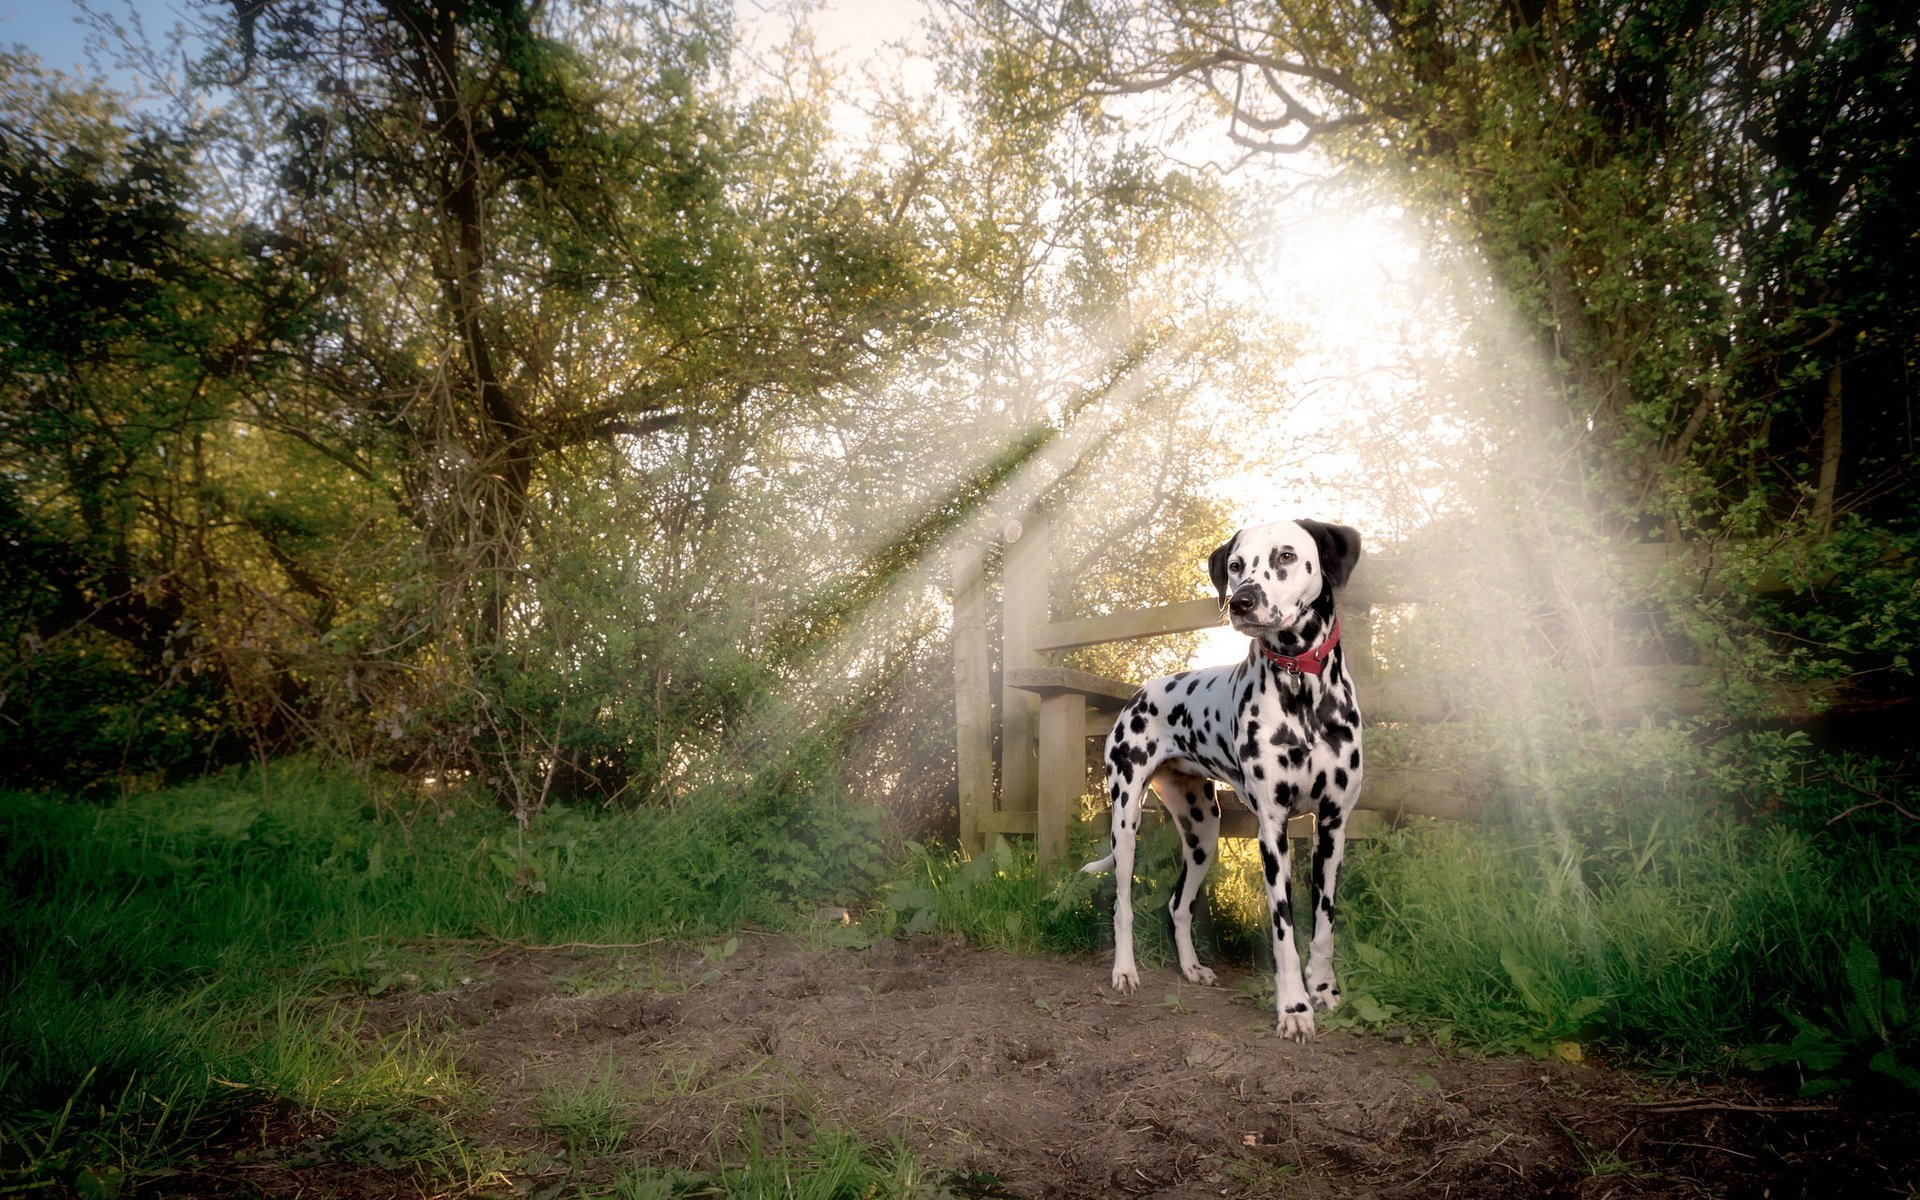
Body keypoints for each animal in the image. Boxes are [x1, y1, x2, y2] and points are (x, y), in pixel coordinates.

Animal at [1082, 522, 1367, 1036]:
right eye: (1236, 565)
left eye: (1286, 556)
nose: (1241, 601)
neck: (1303, 691)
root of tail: (1140, 692)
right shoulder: (1272, 831)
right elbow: (1283, 931)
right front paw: (1294, 1008)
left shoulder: (1332, 827)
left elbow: (1324, 925)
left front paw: (1323, 989)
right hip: (1126, 821)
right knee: (1122, 905)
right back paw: (1125, 971)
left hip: (1203, 833)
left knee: (1178, 905)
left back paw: (1192, 967)